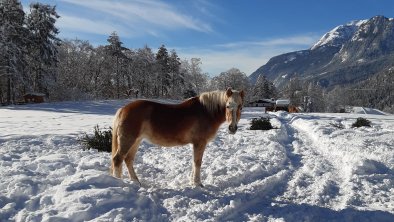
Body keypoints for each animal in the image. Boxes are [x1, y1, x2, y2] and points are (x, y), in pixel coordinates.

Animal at [111, 87, 245, 186]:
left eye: (240, 106)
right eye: (227, 106)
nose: (232, 128)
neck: (207, 112)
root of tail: (123, 109)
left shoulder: (196, 144)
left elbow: (194, 162)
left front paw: (192, 181)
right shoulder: (200, 143)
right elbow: (197, 162)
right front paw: (197, 183)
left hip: (136, 141)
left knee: (128, 160)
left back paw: (136, 182)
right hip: (128, 140)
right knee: (117, 159)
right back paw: (119, 182)